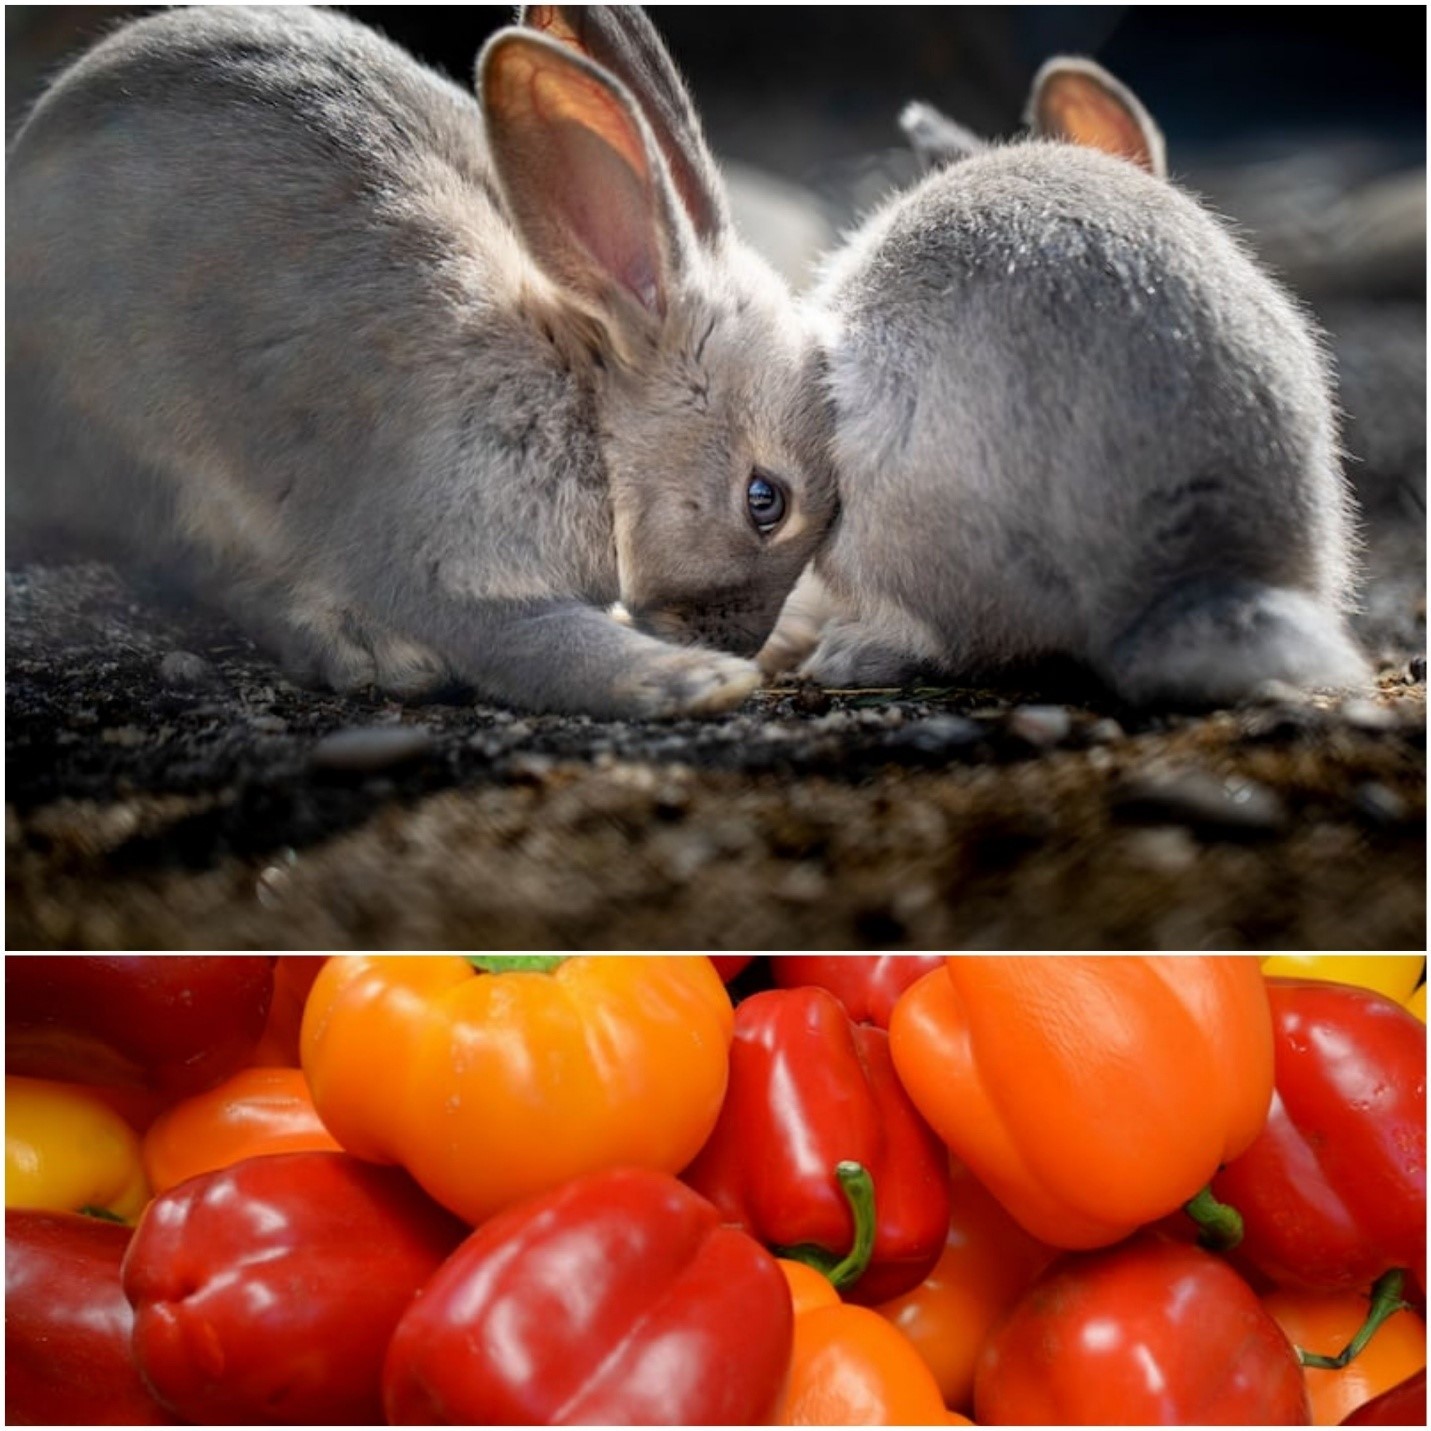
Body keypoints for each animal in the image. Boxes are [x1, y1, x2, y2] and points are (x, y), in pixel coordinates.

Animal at [6, 5, 838, 719]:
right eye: (765, 501)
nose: (738, 644)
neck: (591, 412)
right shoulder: (447, 551)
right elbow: (526, 636)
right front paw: (691, 680)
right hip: (145, 449)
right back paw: (366, 649)